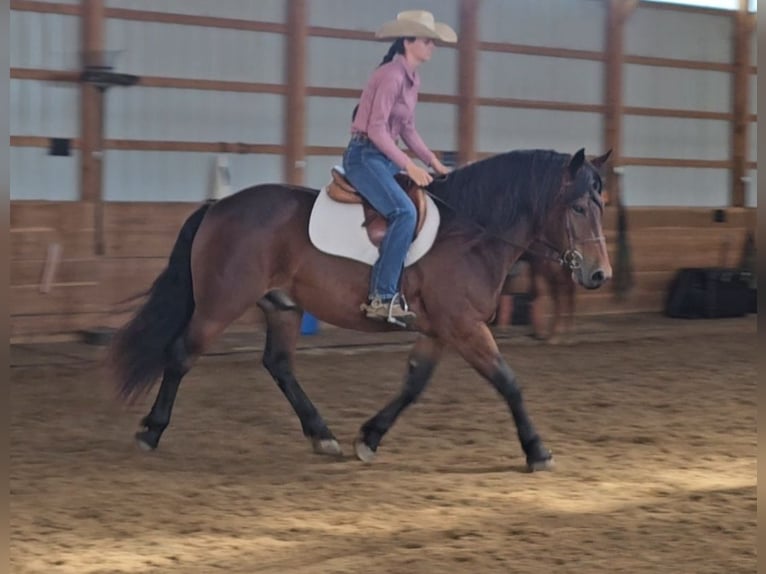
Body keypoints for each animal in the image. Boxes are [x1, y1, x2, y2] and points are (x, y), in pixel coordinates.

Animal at [107, 147, 612, 472]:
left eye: (601, 205)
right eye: (579, 206)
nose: (599, 275)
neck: (471, 234)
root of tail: (218, 206)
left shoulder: (440, 330)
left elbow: (413, 384)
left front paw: (369, 437)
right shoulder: (464, 327)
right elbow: (509, 382)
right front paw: (537, 450)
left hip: (283, 307)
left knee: (279, 364)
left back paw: (322, 434)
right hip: (220, 305)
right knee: (181, 355)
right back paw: (151, 431)